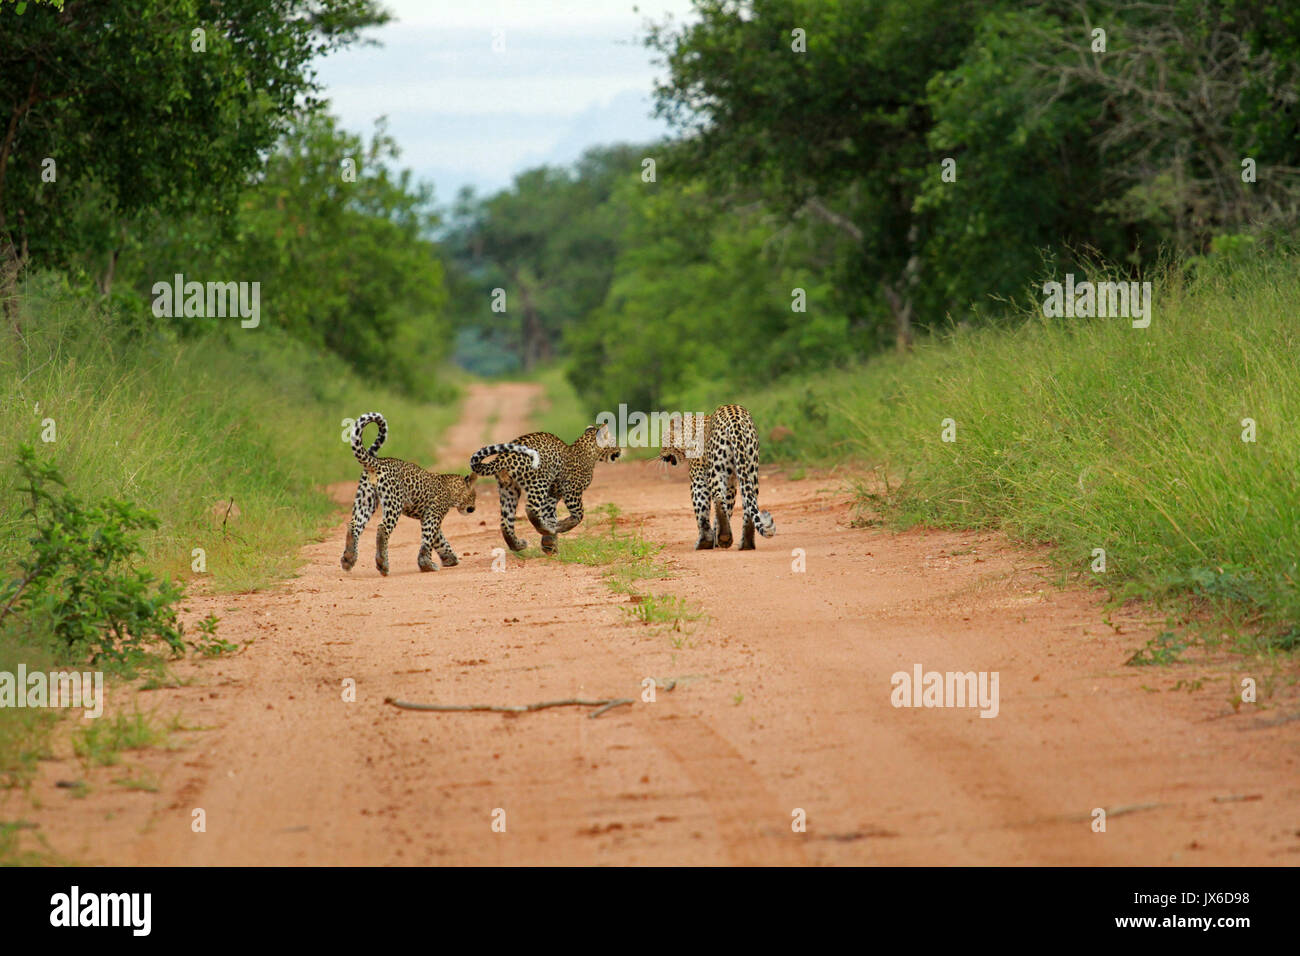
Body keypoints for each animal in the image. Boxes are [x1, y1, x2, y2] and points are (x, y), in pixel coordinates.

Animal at [340, 411, 488, 574]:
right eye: (474, 496)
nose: (473, 509)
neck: (451, 489)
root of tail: (377, 462)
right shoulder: (433, 515)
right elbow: (429, 540)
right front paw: (427, 565)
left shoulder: (427, 516)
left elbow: (439, 540)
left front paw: (450, 558)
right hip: (393, 502)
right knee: (382, 528)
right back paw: (382, 563)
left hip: (366, 499)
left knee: (354, 524)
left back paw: (348, 559)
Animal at [470, 424, 621, 556]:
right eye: (613, 441)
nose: (619, 450)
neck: (589, 452)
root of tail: (503, 457)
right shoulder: (571, 490)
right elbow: (579, 514)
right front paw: (559, 528)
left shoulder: (552, 495)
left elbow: (550, 515)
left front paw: (550, 545)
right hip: (540, 482)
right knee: (531, 509)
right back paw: (544, 529)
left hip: (509, 490)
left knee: (506, 522)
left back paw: (518, 545)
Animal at [660, 403, 769, 554]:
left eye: (664, 440)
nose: (660, 455)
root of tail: (735, 421)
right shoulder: (731, 481)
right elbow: (727, 508)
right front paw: (716, 540)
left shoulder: (698, 477)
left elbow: (701, 510)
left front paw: (705, 541)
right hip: (750, 468)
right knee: (748, 502)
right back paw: (745, 543)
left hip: (716, 469)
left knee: (717, 498)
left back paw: (724, 537)